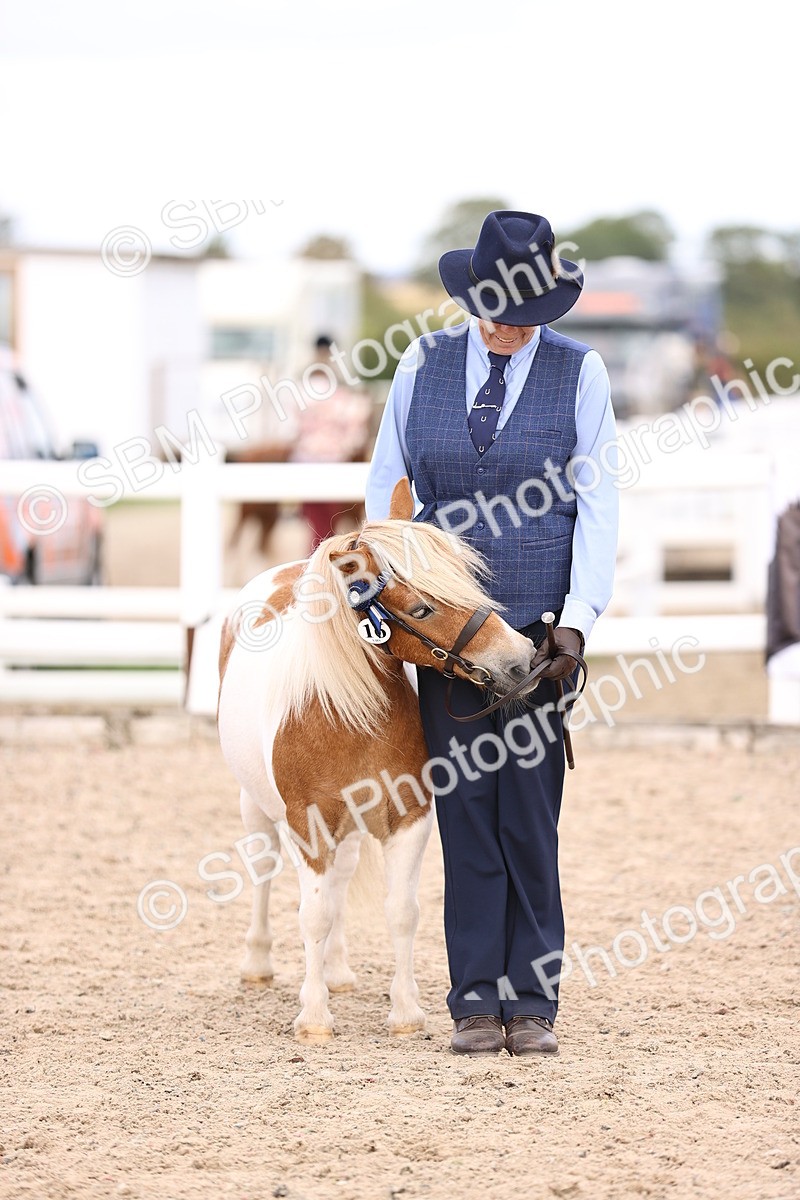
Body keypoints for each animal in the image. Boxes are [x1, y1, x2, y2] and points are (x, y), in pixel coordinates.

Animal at [216, 477, 540, 1042]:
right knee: (264, 869)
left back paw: (338, 970)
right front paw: (314, 1017)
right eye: (422, 608)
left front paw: (406, 1011)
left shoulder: (408, 817)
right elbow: (312, 916)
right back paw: (258, 964)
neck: (344, 711)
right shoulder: (307, 825)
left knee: (340, 881)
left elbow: (400, 911)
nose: (519, 659)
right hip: (255, 805)